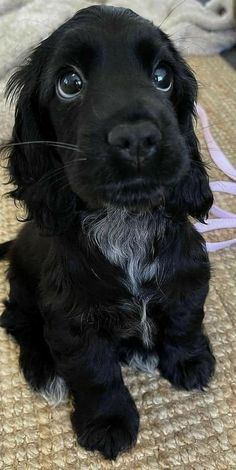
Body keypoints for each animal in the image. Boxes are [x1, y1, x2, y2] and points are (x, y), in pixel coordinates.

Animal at [0, 3, 216, 458]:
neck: (125, 221)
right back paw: (44, 372)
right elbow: (95, 374)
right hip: (23, 290)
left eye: (162, 76)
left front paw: (189, 362)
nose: (138, 137)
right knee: (17, 323)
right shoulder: (71, 319)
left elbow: (186, 321)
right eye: (69, 83)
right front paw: (108, 423)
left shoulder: (188, 277)